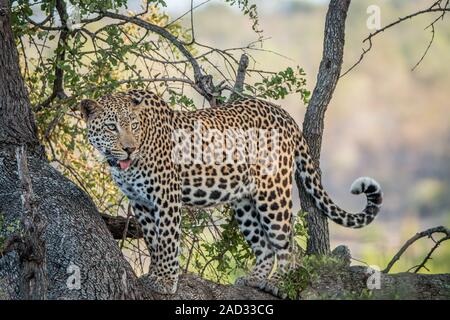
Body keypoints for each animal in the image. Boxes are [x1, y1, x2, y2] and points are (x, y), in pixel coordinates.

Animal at [80, 89, 384, 298]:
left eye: (133, 125)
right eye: (111, 127)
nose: (129, 149)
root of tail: (284, 114)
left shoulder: (166, 197)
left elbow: (166, 241)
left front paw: (166, 281)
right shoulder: (141, 202)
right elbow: (154, 242)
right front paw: (154, 274)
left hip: (272, 192)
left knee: (285, 242)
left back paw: (279, 282)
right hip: (244, 202)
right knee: (264, 246)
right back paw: (254, 278)